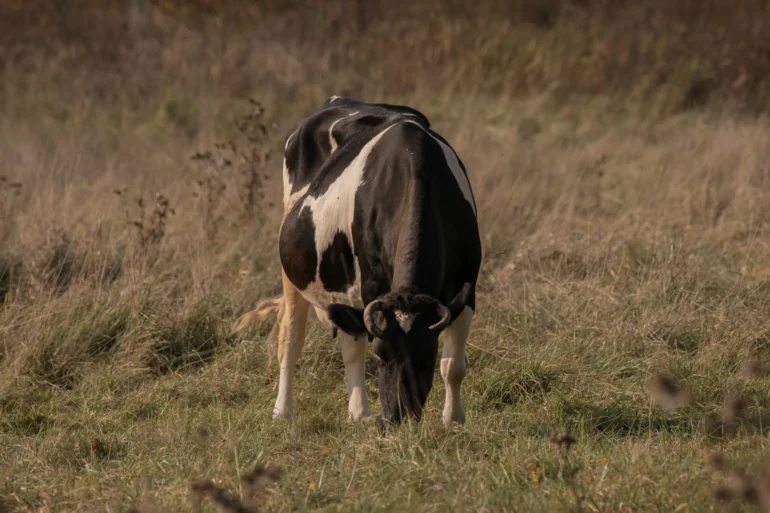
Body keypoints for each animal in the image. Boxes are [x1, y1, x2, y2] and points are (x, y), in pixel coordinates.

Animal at [236, 96, 481, 426]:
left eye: (427, 356)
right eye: (381, 354)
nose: (395, 417)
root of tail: (339, 100)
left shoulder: (466, 289)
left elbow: (453, 366)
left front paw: (453, 420)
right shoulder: (373, 286)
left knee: (349, 342)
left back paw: (359, 413)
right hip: (292, 268)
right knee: (291, 337)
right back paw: (283, 411)